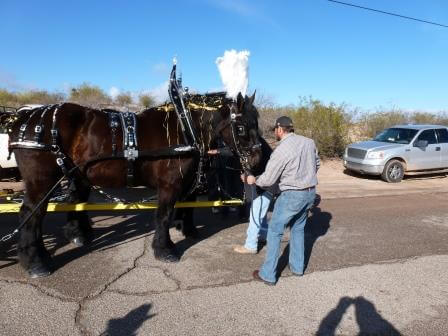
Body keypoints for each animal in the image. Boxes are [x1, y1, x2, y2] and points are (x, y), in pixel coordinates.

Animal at [8, 90, 260, 276]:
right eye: (241, 127)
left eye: (256, 121)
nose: (258, 159)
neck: (184, 126)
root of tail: (22, 119)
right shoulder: (169, 186)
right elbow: (163, 216)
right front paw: (164, 249)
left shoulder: (184, 182)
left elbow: (182, 208)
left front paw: (182, 232)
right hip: (42, 181)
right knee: (31, 214)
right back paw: (35, 262)